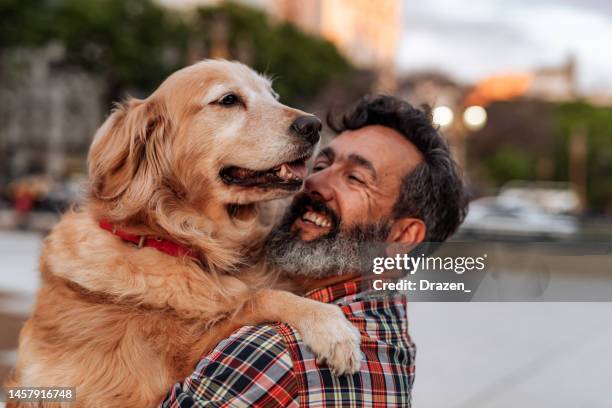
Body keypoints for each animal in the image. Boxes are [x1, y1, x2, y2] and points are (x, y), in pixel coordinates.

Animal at [5, 60, 358, 408]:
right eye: (228, 100)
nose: (313, 125)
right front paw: (332, 327)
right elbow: (258, 299)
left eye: (273, 95)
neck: (175, 241)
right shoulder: (155, 380)